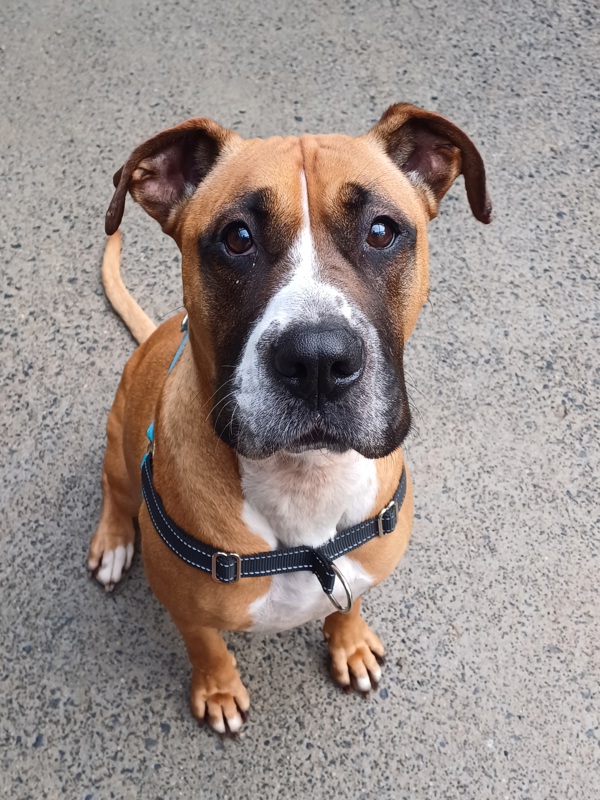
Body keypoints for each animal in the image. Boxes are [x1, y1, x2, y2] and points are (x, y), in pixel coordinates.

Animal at [88, 103, 491, 734]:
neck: (307, 478)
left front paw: (350, 643)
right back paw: (111, 542)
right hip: (118, 436)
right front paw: (219, 690)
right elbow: (206, 645)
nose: (319, 360)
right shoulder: (186, 608)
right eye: (237, 238)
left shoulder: (355, 572)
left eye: (381, 231)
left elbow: (348, 603)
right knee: (114, 486)